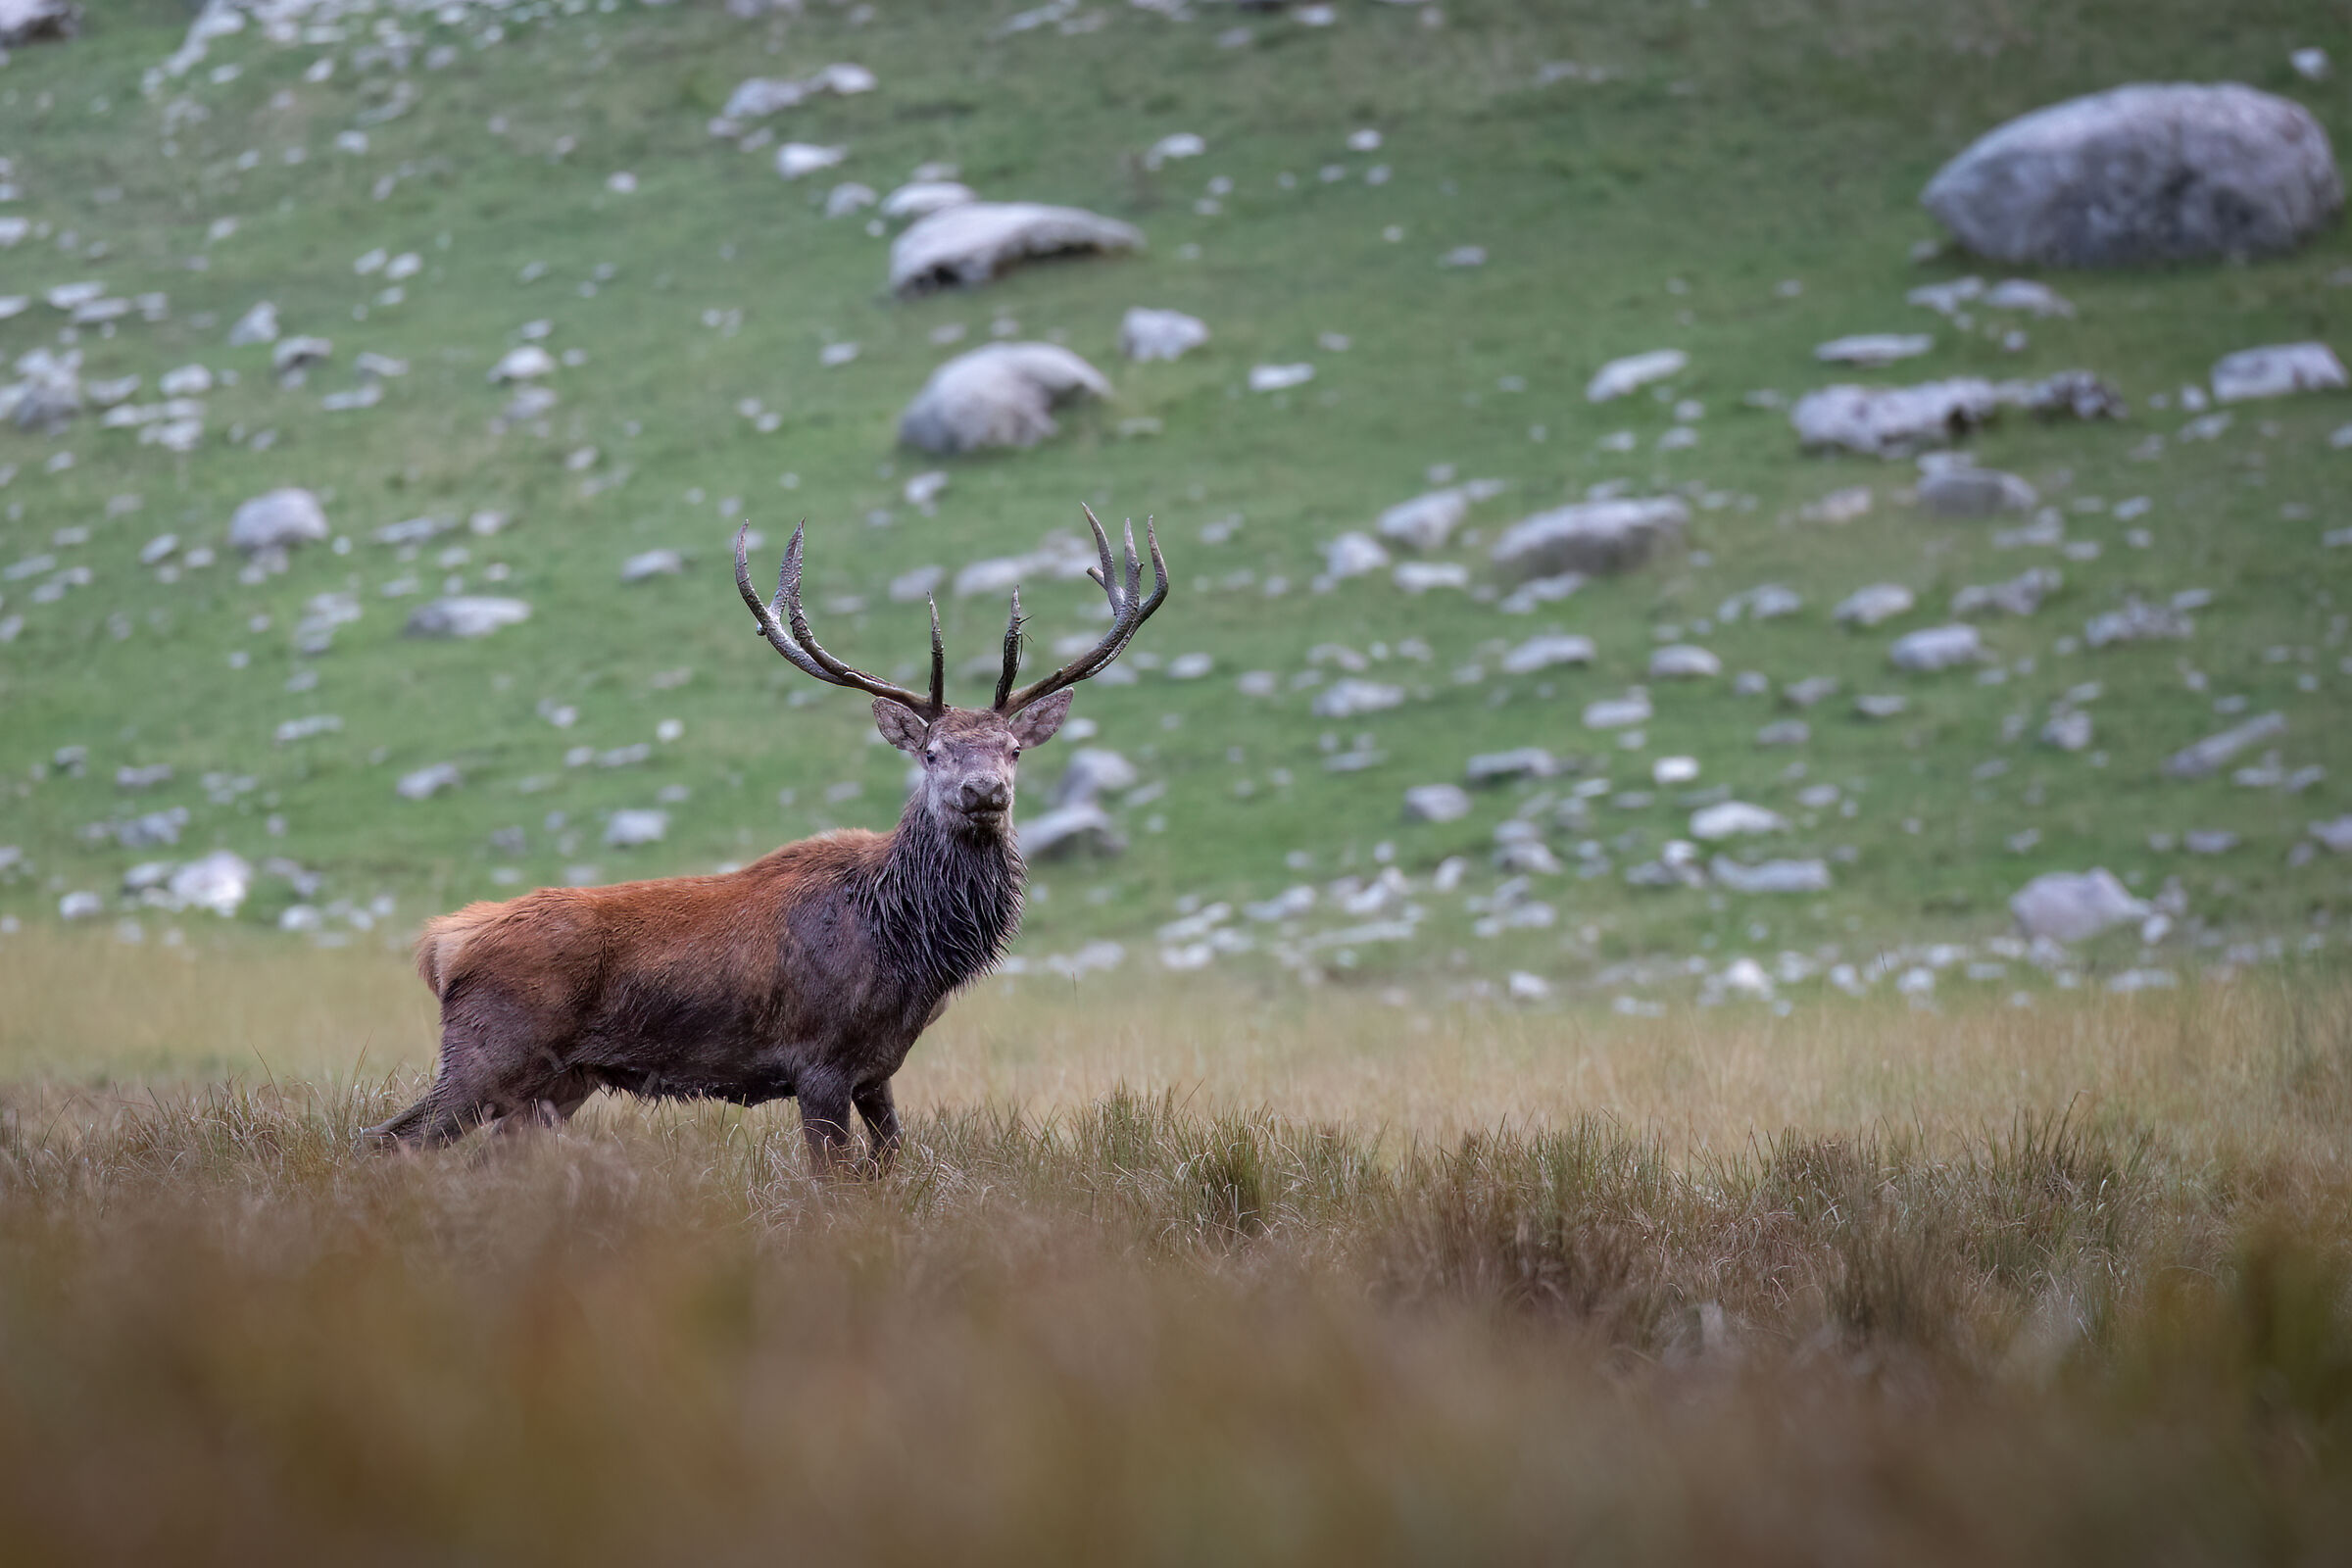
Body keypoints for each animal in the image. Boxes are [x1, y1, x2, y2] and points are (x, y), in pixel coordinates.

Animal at [361, 507, 1167, 1172]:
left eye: (1014, 750)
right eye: (933, 753)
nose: (984, 793)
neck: (907, 945)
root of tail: (441, 944)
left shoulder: (878, 1071)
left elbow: (894, 1170)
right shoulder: (817, 1063)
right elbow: (830, 1183)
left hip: (556, 1083)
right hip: (489, 1051)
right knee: (385, 1140)